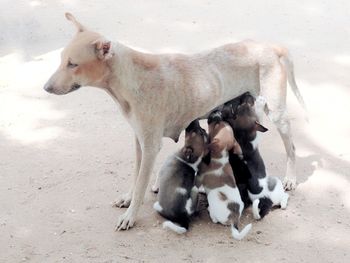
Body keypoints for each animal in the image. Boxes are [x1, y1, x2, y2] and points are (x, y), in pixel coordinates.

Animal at [197, 111, 252, 241]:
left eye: (217, 124)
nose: (218, 112)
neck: (220, 155)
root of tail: (234, 219)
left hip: (213, 195)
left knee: (215, 219)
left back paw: (210, 212)